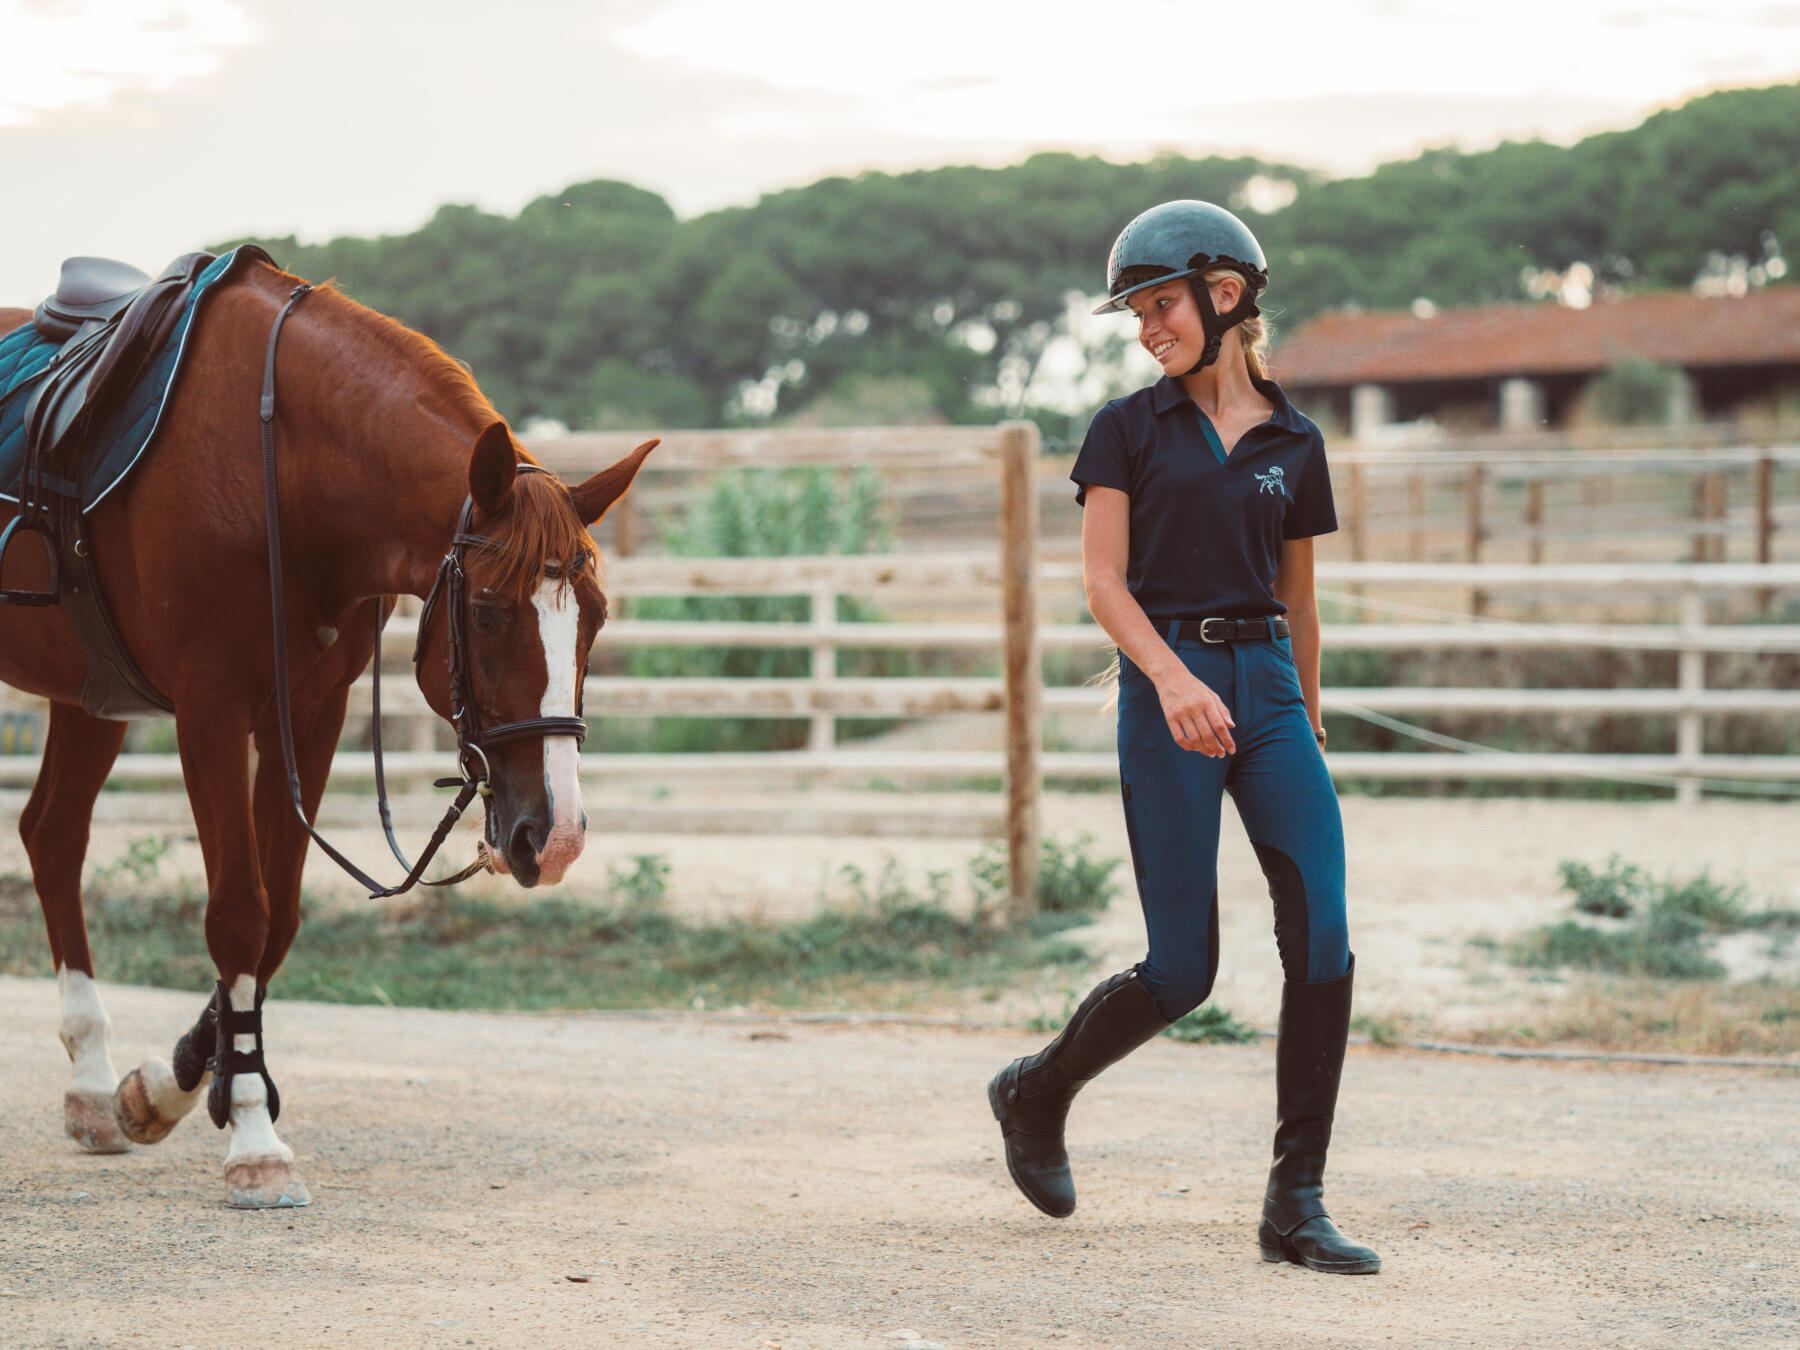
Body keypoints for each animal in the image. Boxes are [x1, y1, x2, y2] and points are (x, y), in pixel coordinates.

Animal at [0, 259, 658, 1209]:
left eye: (597, 618)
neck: (281, 467)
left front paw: (171, 1087)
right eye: (489, 613)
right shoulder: (211, 706)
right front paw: (253, 1141)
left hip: (91, 695)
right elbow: (239, 914)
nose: (557, 835)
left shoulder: (309, 714)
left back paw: (91, 1089)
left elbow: (277, 923)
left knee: (52, 835)